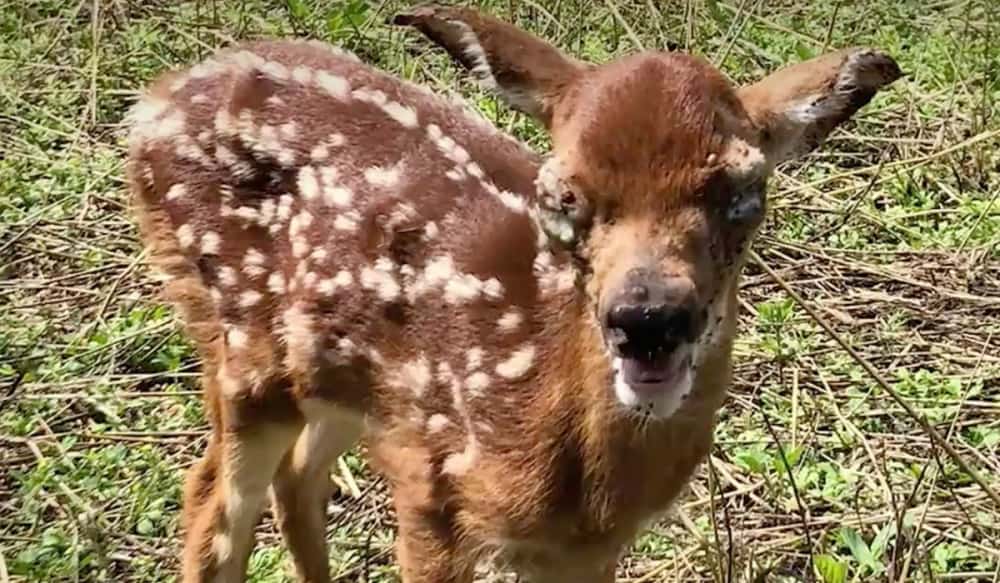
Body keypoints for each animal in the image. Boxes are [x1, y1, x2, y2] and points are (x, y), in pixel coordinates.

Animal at [126, 5, 900, 582]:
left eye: (744, 191)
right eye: (561, 195)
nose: (648, 319)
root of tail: (149, 106)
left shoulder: (585, 549)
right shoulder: (433, 491)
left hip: (338, 373)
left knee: (293, 479)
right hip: (241, 344)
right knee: (210, 503)